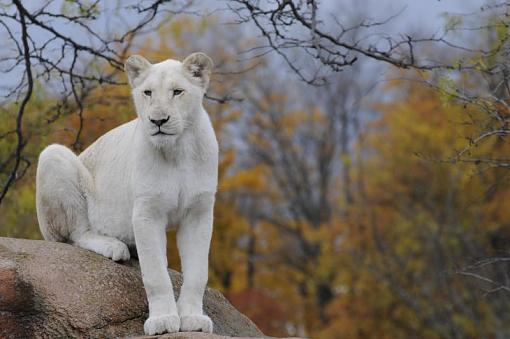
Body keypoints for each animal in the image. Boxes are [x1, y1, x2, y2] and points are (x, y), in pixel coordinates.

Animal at [34, 52, 218, 334]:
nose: (158, 121)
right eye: (147, 92)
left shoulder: (199, 213)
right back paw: (114, 246)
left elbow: (198, 273)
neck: (179, 151)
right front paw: (163, 321)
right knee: (77, 233)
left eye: (177, 91)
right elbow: (155, 274)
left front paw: (193, 319)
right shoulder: (147, 213)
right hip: (54, 156)